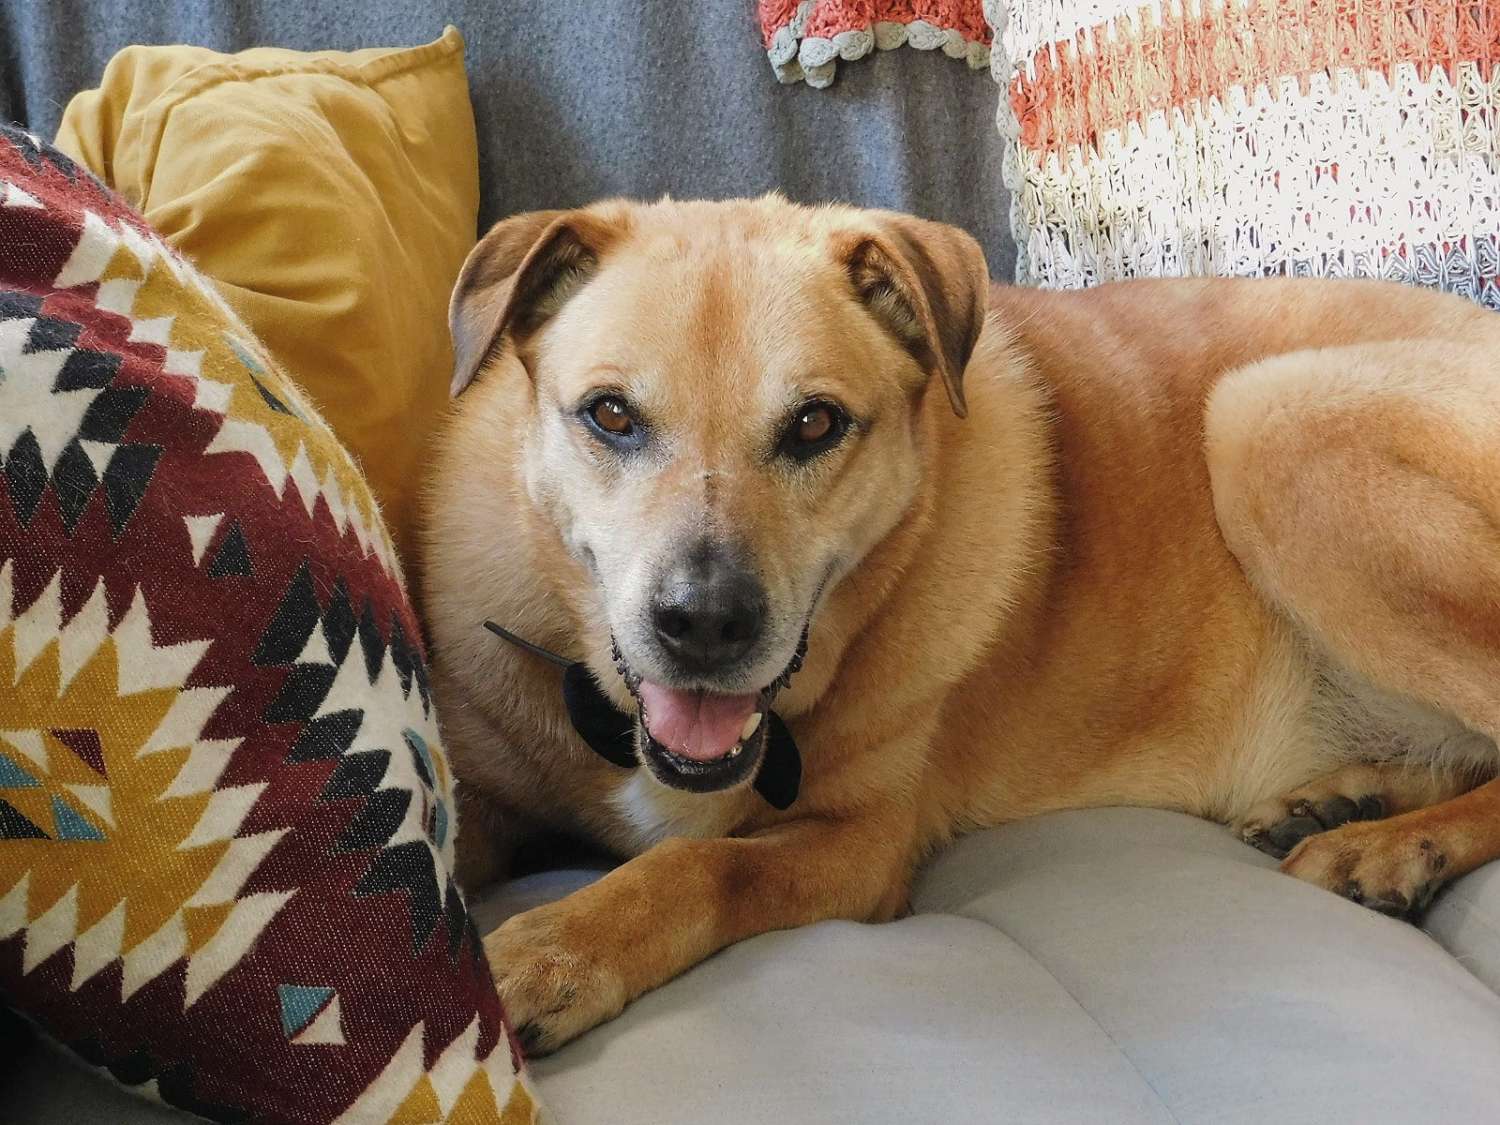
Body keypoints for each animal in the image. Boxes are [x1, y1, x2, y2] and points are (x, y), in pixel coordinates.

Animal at [419, 195, 1500, 1054]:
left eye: (815, 424)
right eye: (610, 415)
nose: (706, 625)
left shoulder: (860, 846)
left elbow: (695, 867)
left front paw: (555, 950)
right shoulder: (483, 785)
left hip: (1268, 420)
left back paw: (1389, 848)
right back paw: (1348, 801)